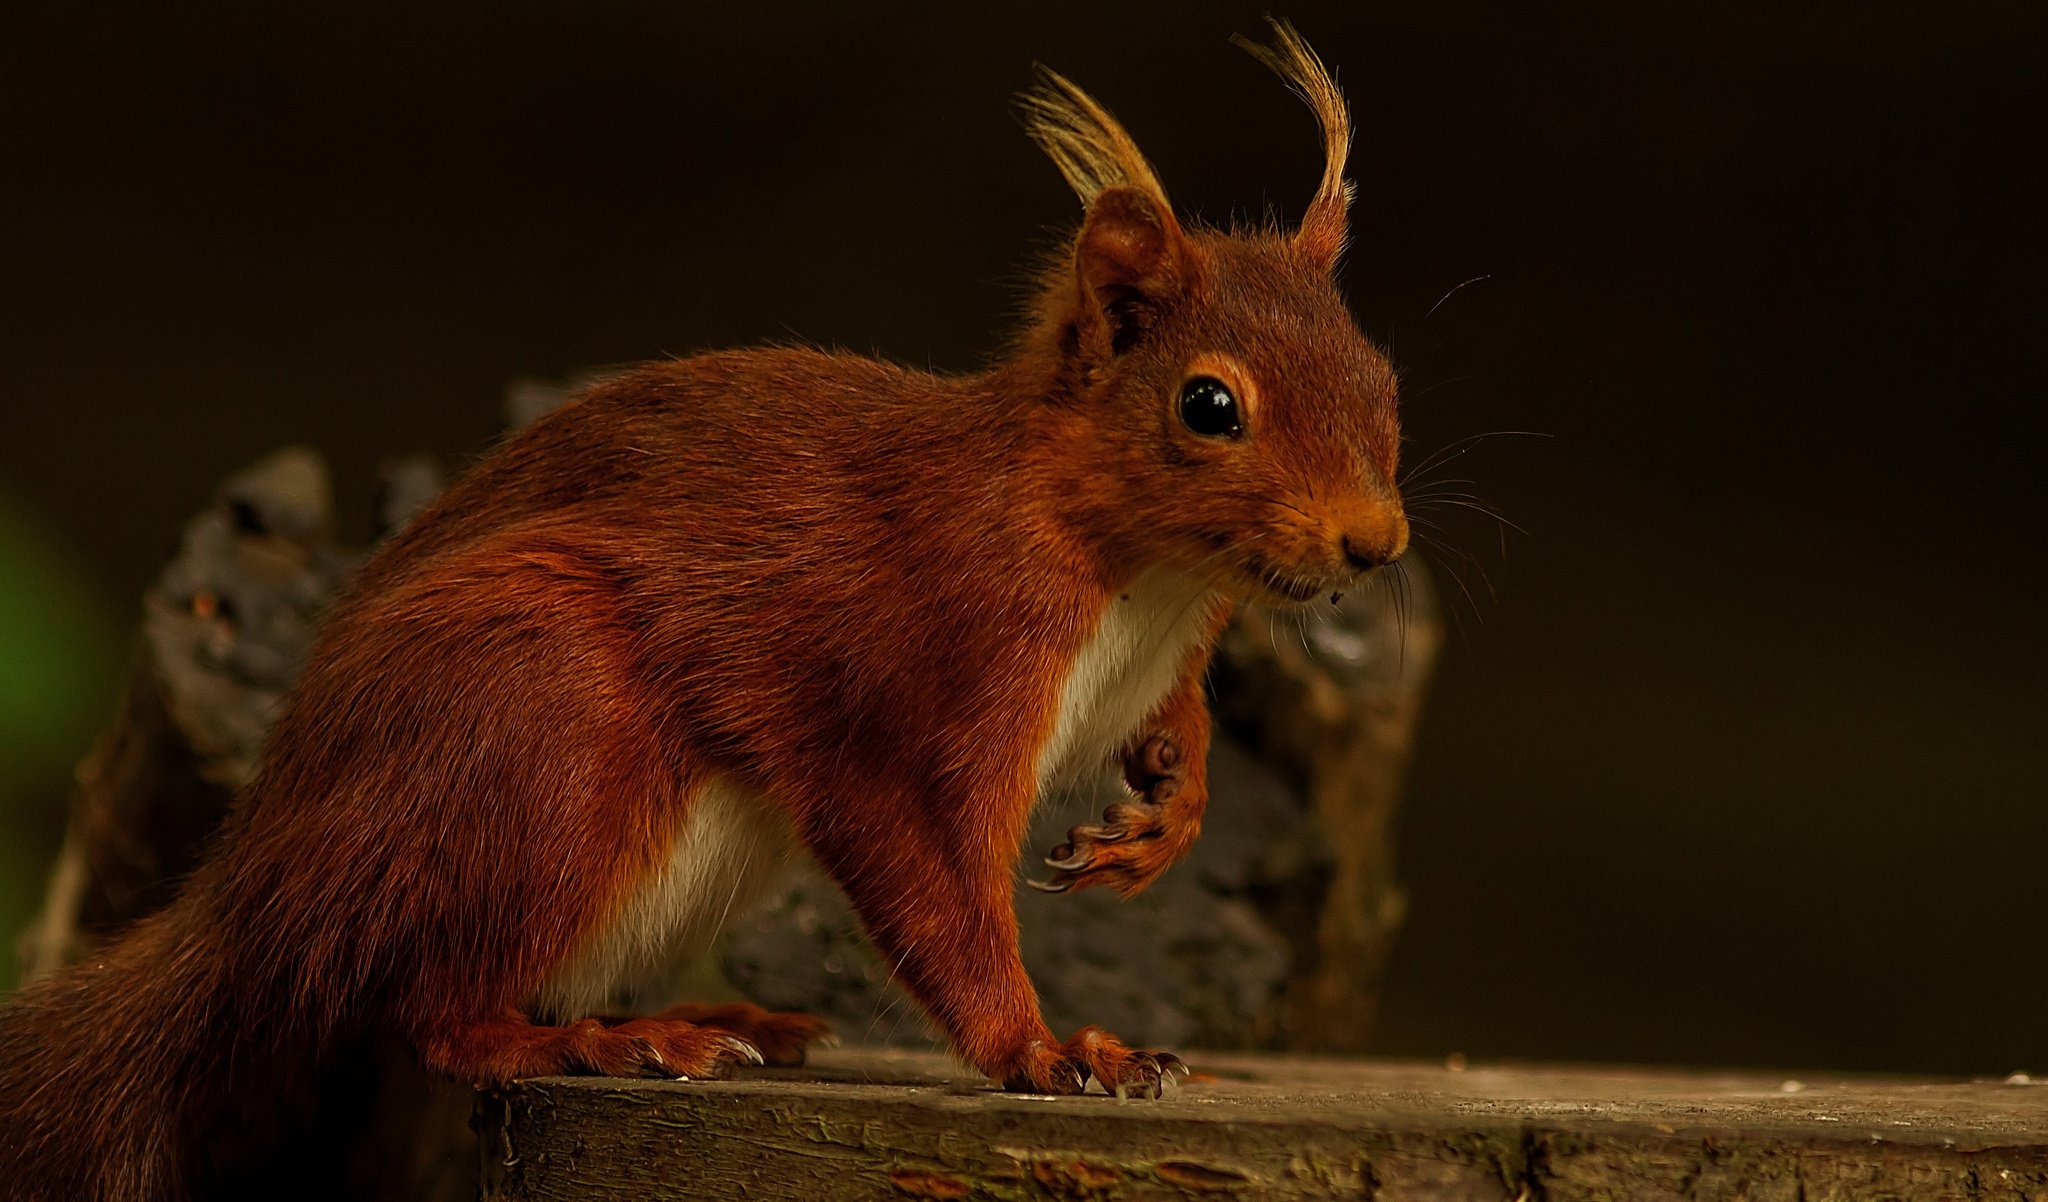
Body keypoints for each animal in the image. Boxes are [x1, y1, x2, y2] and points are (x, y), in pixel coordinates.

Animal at [0, 21, 1406, 1200]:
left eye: (1380, 375)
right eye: (1208, 405)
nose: (1374, 542)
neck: (1143, 577)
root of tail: (259, 887)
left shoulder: (1164, 648)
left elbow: (1177, 731)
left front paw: (1164, 816)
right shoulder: (922, 666)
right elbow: (931, 882)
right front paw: (1049, 1049)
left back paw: (721, 1021)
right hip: (538, 719)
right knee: (434, 1009)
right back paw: (614, 1040)